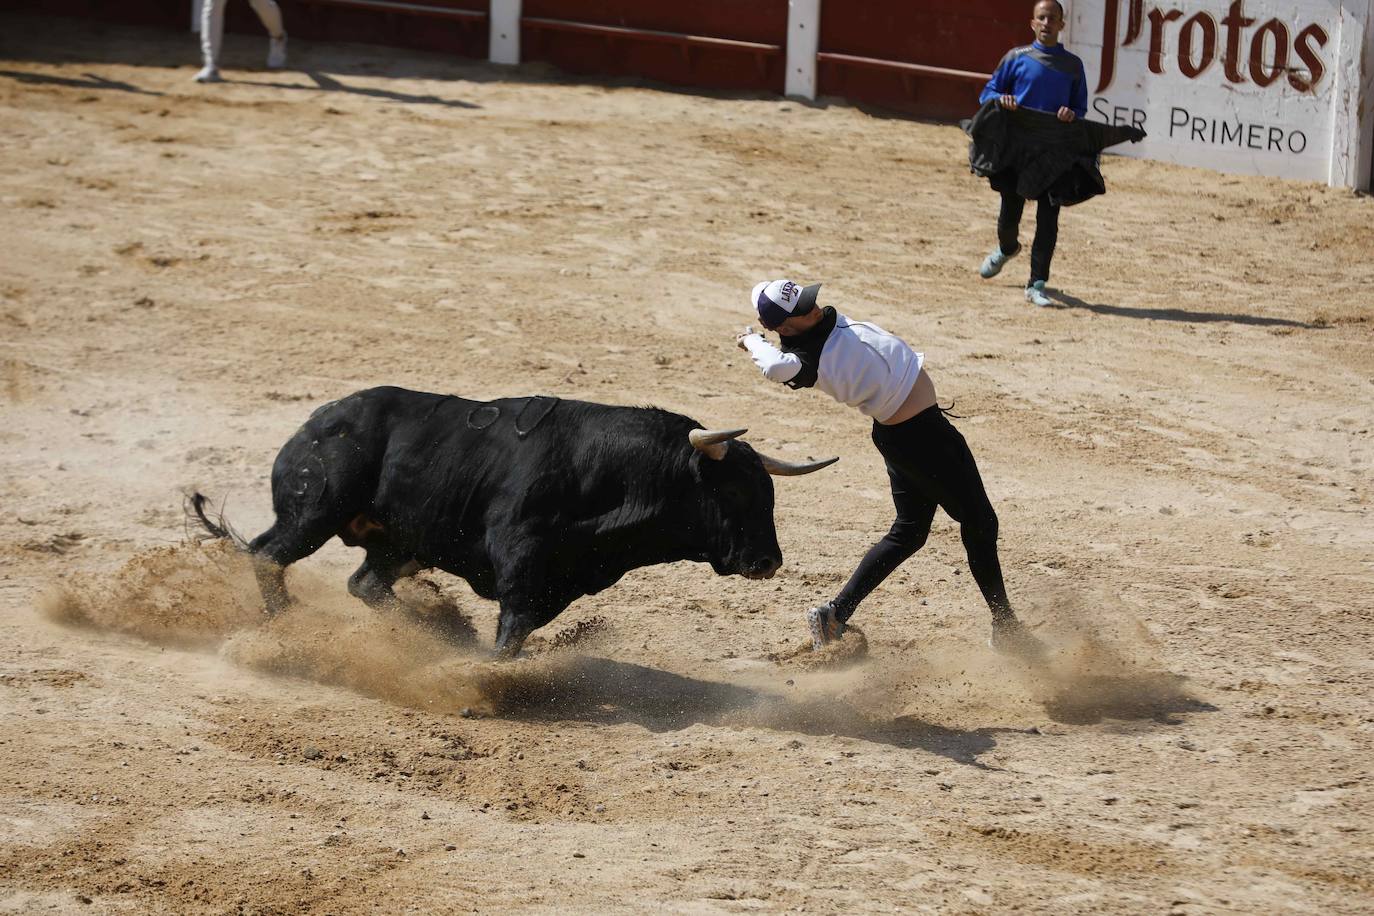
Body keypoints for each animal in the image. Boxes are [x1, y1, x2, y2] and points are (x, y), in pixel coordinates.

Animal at [190, 387, 835, 659]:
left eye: (768, 493)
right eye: (733, 491)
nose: (768, 561)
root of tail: (318, 422)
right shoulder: (522, 565)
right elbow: (511, 632)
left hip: (398, 543)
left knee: (365, 583)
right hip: (313, 513)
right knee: (269, 555)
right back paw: (284, 628)